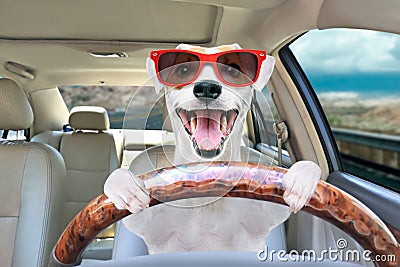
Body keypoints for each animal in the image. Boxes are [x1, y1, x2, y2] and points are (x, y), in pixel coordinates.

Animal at [104, 43, 322, 255]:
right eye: (184, 69)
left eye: (232, 70)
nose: (207, 87)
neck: (206, 173)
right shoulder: (150, 224)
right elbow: (117, 184)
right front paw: (125, 186)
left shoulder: (266, 213)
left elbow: (309, 168)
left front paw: (301, 180)